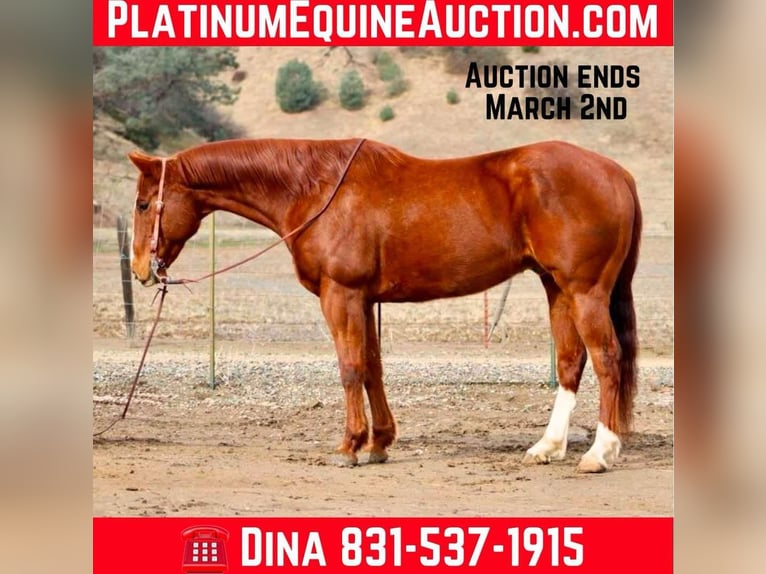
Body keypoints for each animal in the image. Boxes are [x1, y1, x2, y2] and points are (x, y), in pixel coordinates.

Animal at [128, 137, 641, 473]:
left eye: (142, 203)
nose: (140, 269)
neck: (314, 188)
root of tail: (617, 173)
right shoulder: (365, 299)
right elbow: (372, 367)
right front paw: (379, 442)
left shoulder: (341, 294)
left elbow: (350, 367)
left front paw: (350, 446)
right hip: (558, 289)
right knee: (571, 362)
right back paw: (549, 447)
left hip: (585, 291)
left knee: (607, 359)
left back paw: (599, 453)